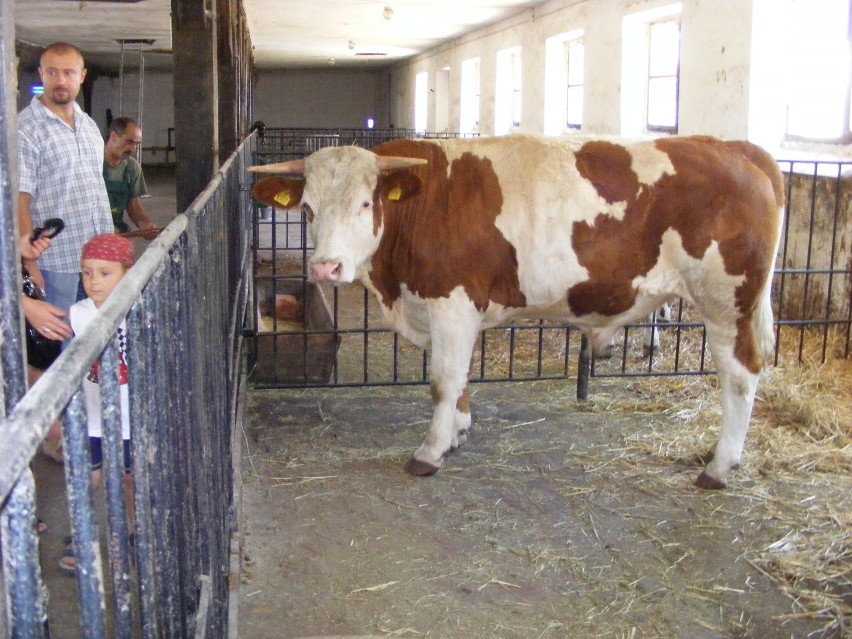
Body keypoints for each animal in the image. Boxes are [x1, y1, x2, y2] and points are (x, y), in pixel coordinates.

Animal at [251, 132, 784, 488]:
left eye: (365, 204)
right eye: (307, 209)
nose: (326, 267)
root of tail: (735, 147)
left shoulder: (452, 303)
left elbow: (443, 379)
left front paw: (431, 451)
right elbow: (459, 378)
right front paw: (458, 432)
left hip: (727, 300)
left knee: (741, 375)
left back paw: (719, 466)